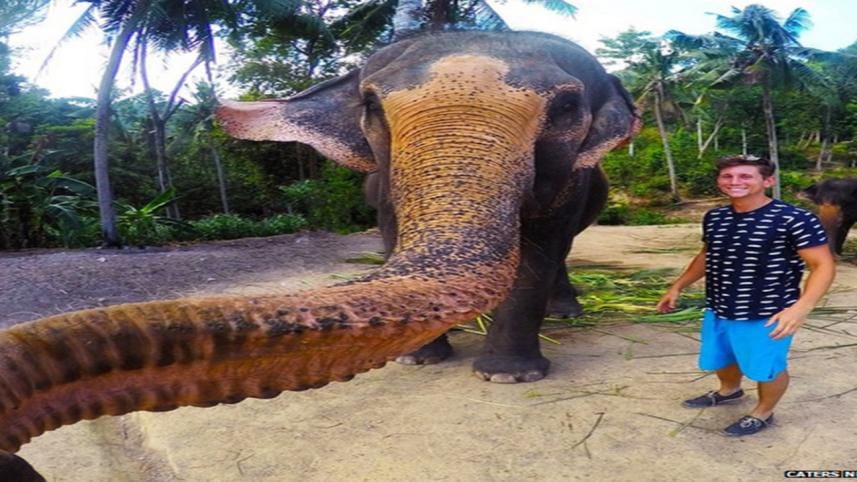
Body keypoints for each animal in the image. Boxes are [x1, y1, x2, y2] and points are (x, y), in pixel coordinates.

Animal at [0, 30, 638, 479]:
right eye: (372, 104)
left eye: (566, 108)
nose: (17, 458)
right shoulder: (382, 178)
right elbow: (389, 230)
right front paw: (420, 360)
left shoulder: (569, 179)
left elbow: (539, 250)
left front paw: (506, 376)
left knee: (563, 252)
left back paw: (565, 313)